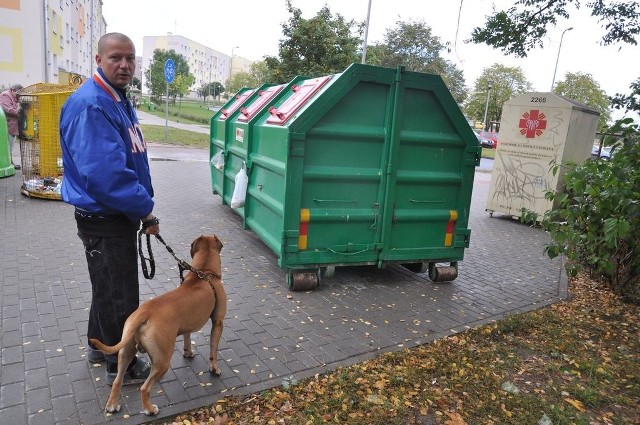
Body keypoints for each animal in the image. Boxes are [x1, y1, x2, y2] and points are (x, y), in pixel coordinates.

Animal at [90, 232, 225, 414]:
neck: (204, 273)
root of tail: (144, 313)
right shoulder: (218, 322)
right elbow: (213, 350)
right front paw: (214, 368)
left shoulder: (187, 323)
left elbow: (187, 336)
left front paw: (188, 352)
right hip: (162, 360)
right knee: (145, 388)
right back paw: (150, 409)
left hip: (126, 350)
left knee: (118, 379)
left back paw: (112, 405)